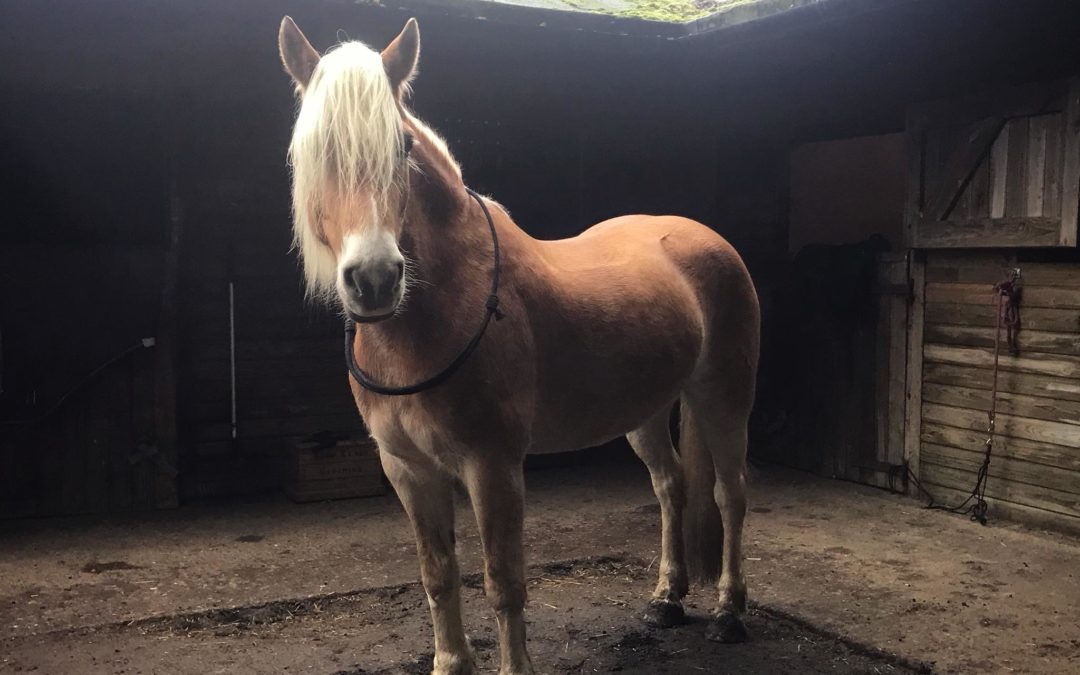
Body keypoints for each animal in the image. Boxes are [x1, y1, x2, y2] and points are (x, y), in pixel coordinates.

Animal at [274, 15, 760, 673]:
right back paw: (666, 600)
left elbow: (503, 580)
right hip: (647, 410)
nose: (374, 279)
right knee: (671, 485)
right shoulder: (407, 469)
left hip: (723, 397)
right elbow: (438, 575)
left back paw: (730, 612)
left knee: (730, 493)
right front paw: (450, 662)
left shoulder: (493, 464)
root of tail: (706, 239)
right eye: (311, 152)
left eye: (402, 148)